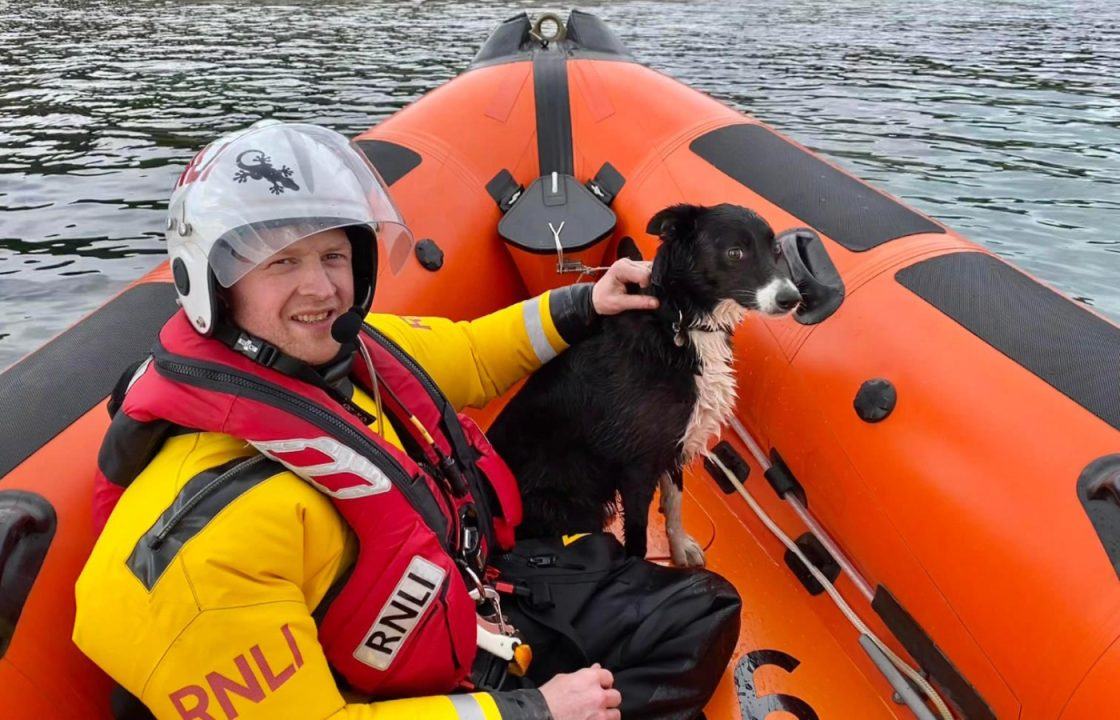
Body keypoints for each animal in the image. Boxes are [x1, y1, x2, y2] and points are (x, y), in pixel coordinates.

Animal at [488, 203, 797, 568]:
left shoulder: (673, 446)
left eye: (776, 250)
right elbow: (638, 537)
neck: (681, 321)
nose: (792, 298)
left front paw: (679, 549)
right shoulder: (637, 467)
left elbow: (675, 504)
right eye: (735, 252)